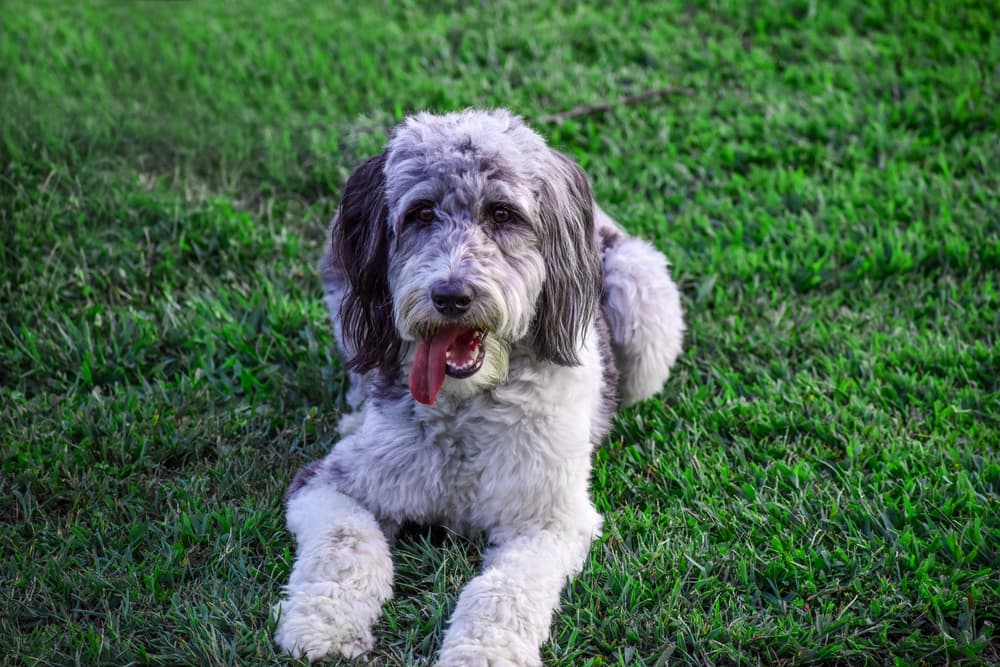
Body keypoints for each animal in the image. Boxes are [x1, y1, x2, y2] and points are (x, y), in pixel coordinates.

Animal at [272, 107, 680, 664]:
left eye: (503, 214)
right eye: (421, 213)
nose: (450, 295)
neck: (465, 414)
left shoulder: (549, 519)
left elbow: (504, 590)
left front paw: (482, 653)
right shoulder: (329, 482)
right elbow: (346, 542)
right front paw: (323, 624)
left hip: (645, 296)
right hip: (344, 299)